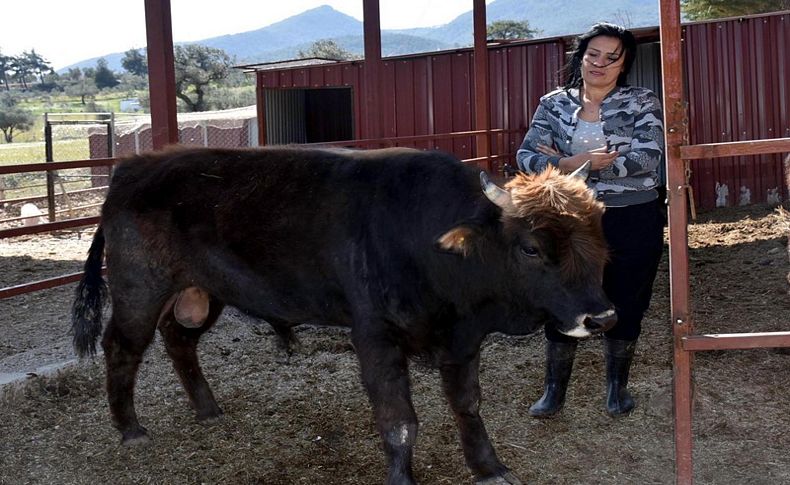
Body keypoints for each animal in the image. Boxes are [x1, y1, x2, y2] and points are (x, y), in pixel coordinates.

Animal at [72, 147, 620, 484]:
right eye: (531, 247)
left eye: (598, 231)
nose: (602, 318)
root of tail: (133, 168)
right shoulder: (374, 334)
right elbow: (399, 420)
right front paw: (402, 477)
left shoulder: (462, 340)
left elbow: (467, 405)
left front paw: (490, 467)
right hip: (139, 291)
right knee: (122, 347)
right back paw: (130, 429)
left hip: (203, 291)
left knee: (178, 338)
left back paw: (207, 408)